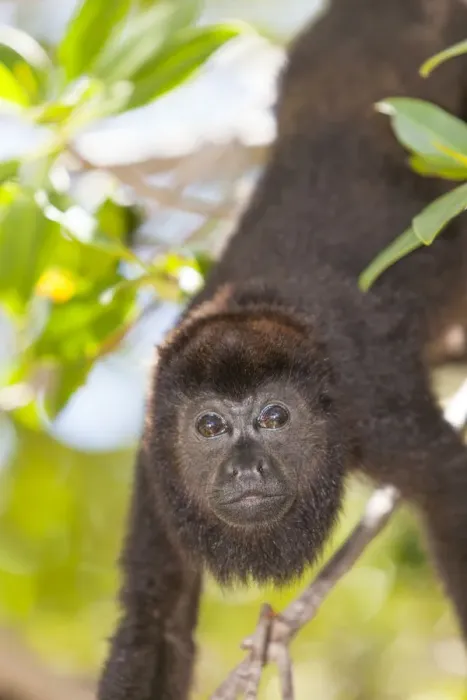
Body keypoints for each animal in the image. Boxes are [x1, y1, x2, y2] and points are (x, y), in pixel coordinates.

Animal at [98, 1, 467, 698]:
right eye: (210, 426)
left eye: (274, 417)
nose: (245, 470)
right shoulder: (156, 464)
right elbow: (152, 615)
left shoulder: (372, 403)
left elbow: (449, 492)